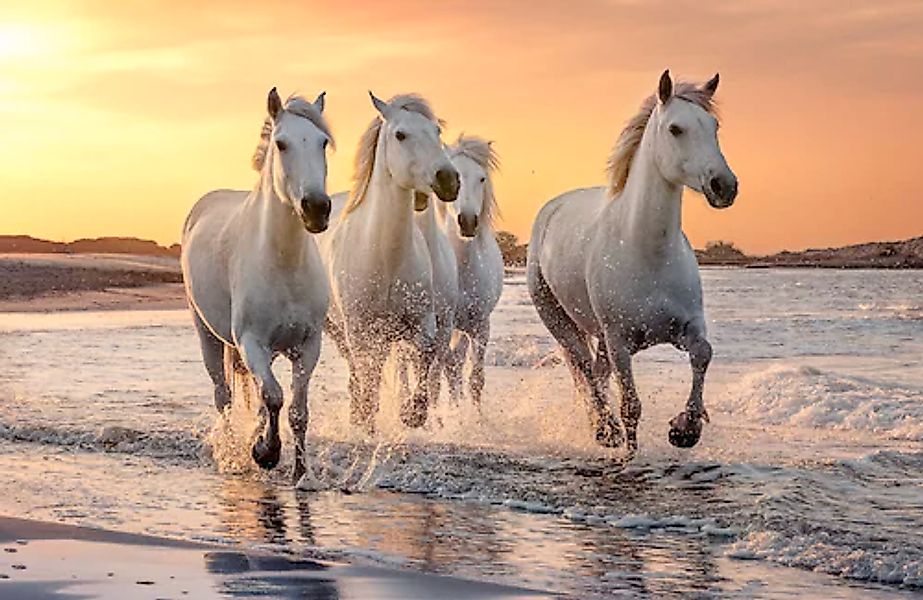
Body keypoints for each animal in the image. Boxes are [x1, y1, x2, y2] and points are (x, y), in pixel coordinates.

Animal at [181, 88, 333, 482]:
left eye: (323, 142)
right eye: (281, 143)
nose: (316, 208)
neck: (283, 264)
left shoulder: (307, 345)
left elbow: (296, 410)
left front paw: (300, 473)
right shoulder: (251, 342)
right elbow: (275, 397)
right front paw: (265, 453)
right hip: (207, 334)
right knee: (223, 397)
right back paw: (234, 451)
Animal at [323, 92, 459, 433]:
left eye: (437, 131)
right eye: (400, 135)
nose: (449, 179)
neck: (386, 258)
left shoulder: (422, 323)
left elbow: (425, 359)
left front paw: (412, 413)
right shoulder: (360, 330)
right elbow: (369, 379)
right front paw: (367, 420)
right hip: (338, 329)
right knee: (358, 372)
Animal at [526, 70, 738, 454]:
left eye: (714, 126)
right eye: (675, 129)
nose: (724, 186)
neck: (648, 253)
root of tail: (552, 209)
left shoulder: (686, 327)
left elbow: (703, 354)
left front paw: (685, 429)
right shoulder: (619, 341)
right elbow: (631, 406)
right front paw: (630, 450)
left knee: (595, 374)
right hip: (560, 321)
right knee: (584, 369)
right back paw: (604, 430)